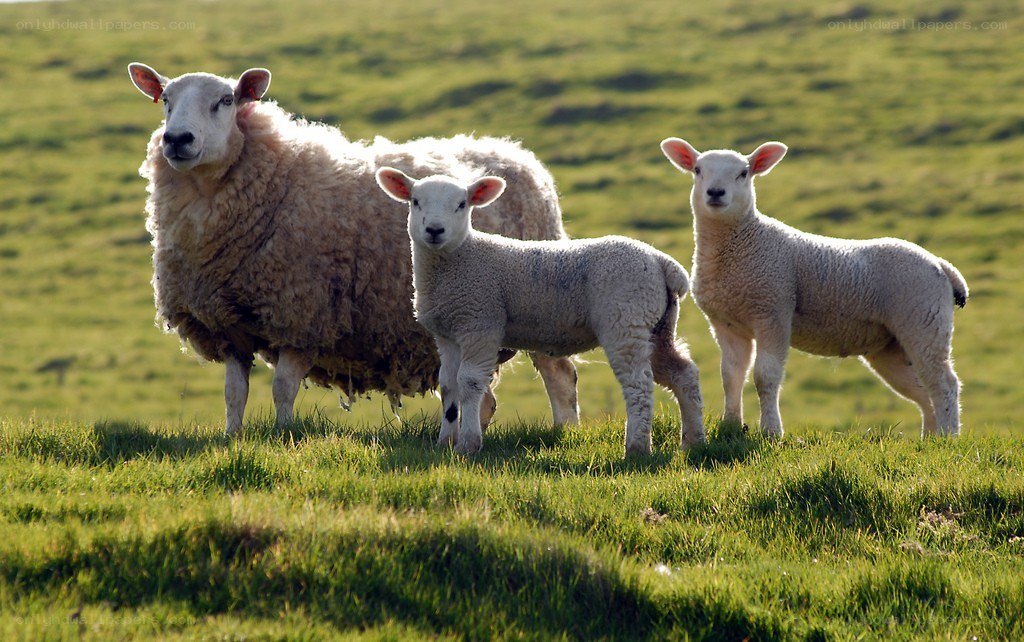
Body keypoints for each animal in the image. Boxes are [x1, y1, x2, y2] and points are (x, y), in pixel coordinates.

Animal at [127, 62, 581, 435]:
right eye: (165, 100)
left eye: (225, 100)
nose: (177, 139)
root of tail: (520, 156)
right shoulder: (229, 325)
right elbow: (234, 393)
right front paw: (233, 439)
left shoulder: (303, 315)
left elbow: (282, 388)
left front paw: (281, 436)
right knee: (483, 396)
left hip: (543, 303)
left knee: (560, 374)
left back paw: (565, 433)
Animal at [375, 167, 705, 456]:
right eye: (415, 201)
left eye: (461, 204)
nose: (434, 230)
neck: (458, 259)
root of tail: (662, 262)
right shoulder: (447, 335)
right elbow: (448, 386)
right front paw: (445, 443)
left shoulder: (480, 323)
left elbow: (468, 382)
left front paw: (468, 445)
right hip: (657, 325)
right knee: (683, 374)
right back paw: (693, 442)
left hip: (625, 318)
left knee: (639, 384)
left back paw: (636, 448)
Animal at [660, 137, 968, 439]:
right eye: (698, 170)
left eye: (743, 173)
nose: (715, 192)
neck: (740, 243)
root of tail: (941, 264)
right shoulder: (726, 323)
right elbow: (731, 375)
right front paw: (731, 426)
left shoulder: (773, 310)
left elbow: (765, 376)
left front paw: (771, 431)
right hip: (890, 345)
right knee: (923, 391)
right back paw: (929, 438)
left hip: (924, 321)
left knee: (944, 384)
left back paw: (947, 439)